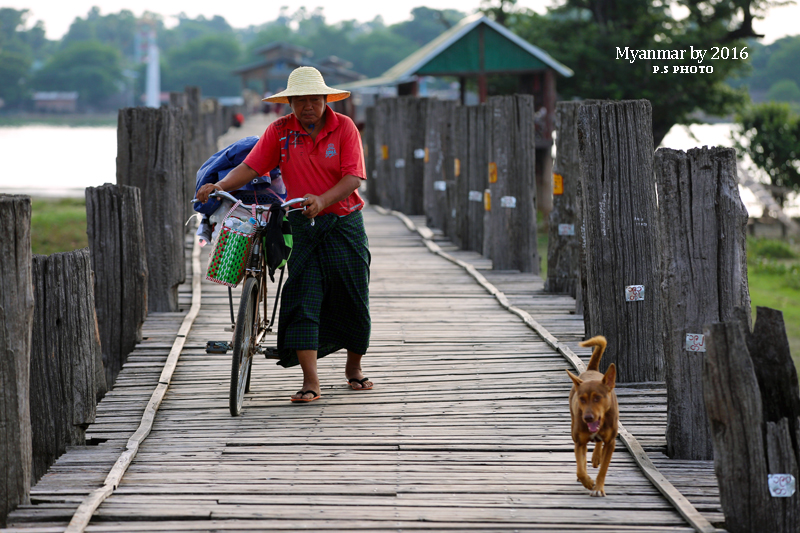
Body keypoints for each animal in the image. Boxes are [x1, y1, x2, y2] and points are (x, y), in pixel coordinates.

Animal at [564, 334, 620, 496]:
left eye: (597, 398)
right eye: (582, 399)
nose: (587, 418)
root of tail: (592, 370)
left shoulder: (611, 442)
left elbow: (603, 469)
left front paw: (598, 488)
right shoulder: (579, 442)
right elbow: (580, 468)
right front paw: (588, 482)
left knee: (598, 443)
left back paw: (596, 457)